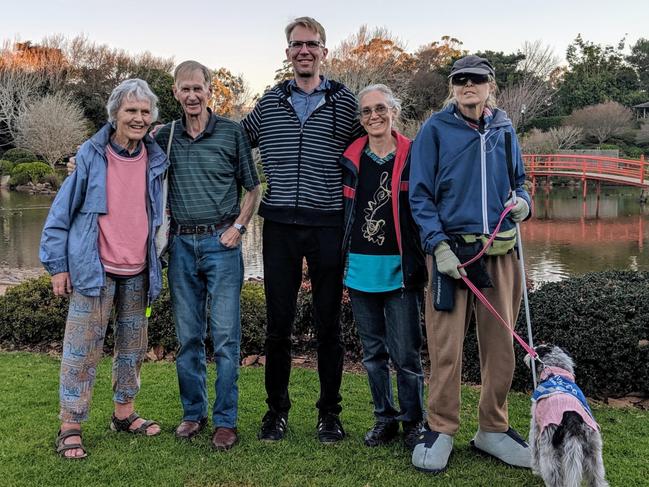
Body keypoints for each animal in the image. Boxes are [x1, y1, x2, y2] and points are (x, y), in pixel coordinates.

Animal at [520, 346, 608, 486]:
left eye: (537, 348)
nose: (529, 352)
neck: (556, 372)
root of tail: (573, 422)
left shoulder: (535, 427)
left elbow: (534, 452)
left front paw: (535, 470)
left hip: (550, 456)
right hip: (594, 455)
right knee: (597, 480)